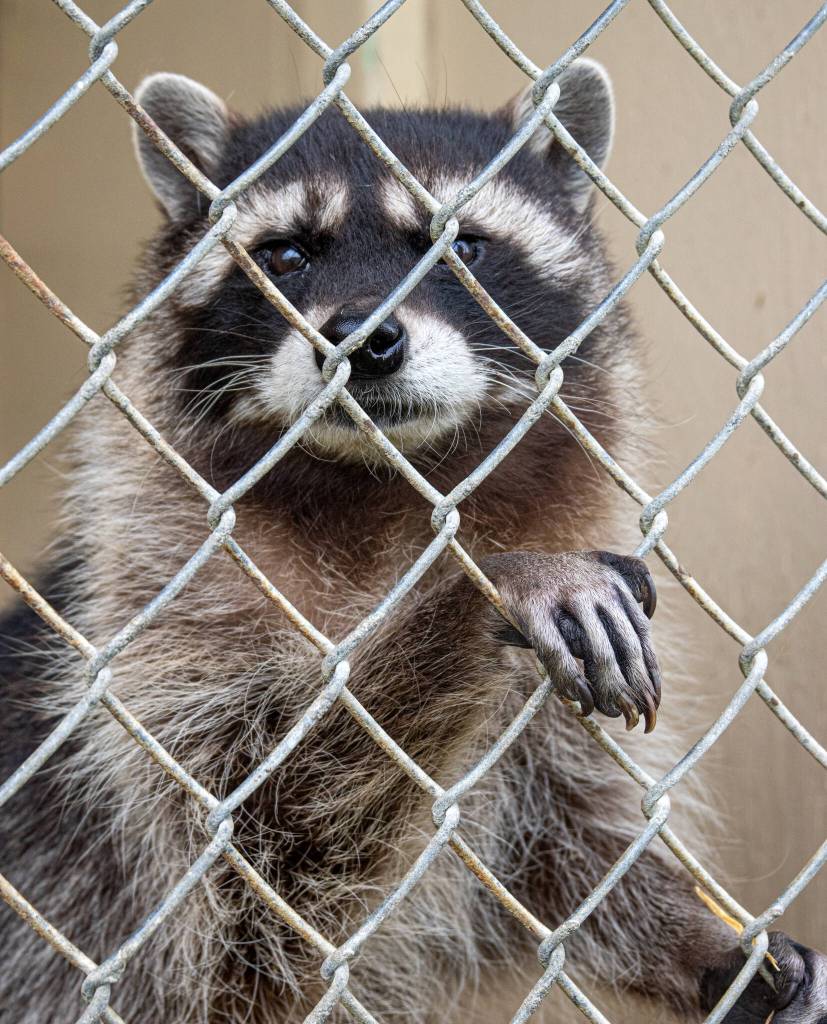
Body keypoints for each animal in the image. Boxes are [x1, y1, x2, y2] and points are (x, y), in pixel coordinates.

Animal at [1, 59, 825, 1024]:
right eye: (287, 255)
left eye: (461, 248)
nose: (361, 337)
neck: (381, 484)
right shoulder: (160, 652)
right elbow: (273, 839)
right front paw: (482, 588)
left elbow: (565, 841)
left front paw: (698, 940)